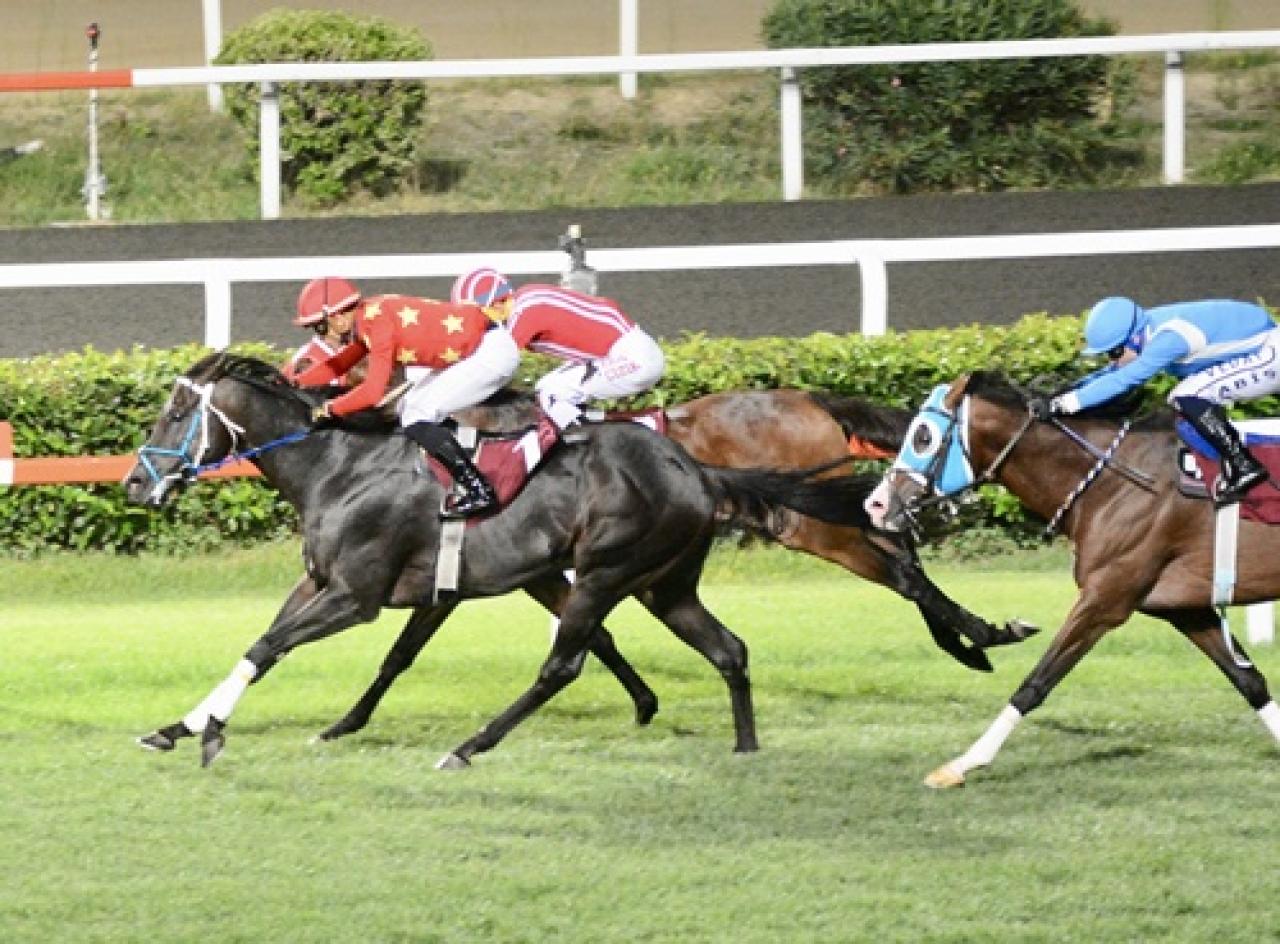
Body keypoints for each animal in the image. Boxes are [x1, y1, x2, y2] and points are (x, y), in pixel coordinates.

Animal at [124, 350, 875, 767]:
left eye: (174, 415)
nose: (134, 483)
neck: (341, 466)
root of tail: (695, 469)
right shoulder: (332, 585)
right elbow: (279, 646)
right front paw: (180, 726)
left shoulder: (354, 597)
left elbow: (269, 644)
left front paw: (211, 734)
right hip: (666, 586)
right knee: (728, 649)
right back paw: (745, 748)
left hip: (608, 569)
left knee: (565, 662)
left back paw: (467, 748)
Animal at [860, 370, 1280, 782]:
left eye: (923, 436)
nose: (875, 505)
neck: (1112, 482)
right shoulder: (1185, 607)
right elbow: (1249, 680)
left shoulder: (1104, 599)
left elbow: (1037, 681)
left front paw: (963, 764)